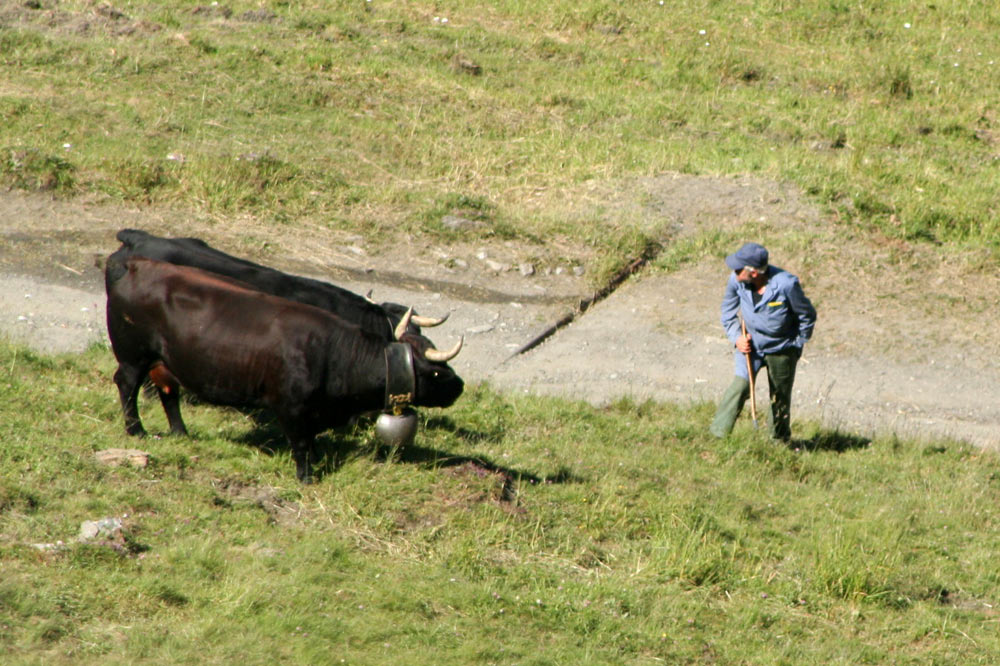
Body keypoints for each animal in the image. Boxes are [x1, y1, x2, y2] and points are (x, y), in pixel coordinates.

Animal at [105, 254, 464, 482]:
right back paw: (135, 429)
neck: (336, 354)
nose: (460, 386)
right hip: (133, 355)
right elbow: (301, 444)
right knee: (126, 385)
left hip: (165, 362)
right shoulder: (291, 408)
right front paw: (306, 477)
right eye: (436, 372)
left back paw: (181, 432)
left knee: (168, 391)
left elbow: (313, 441)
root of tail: (132, 265)